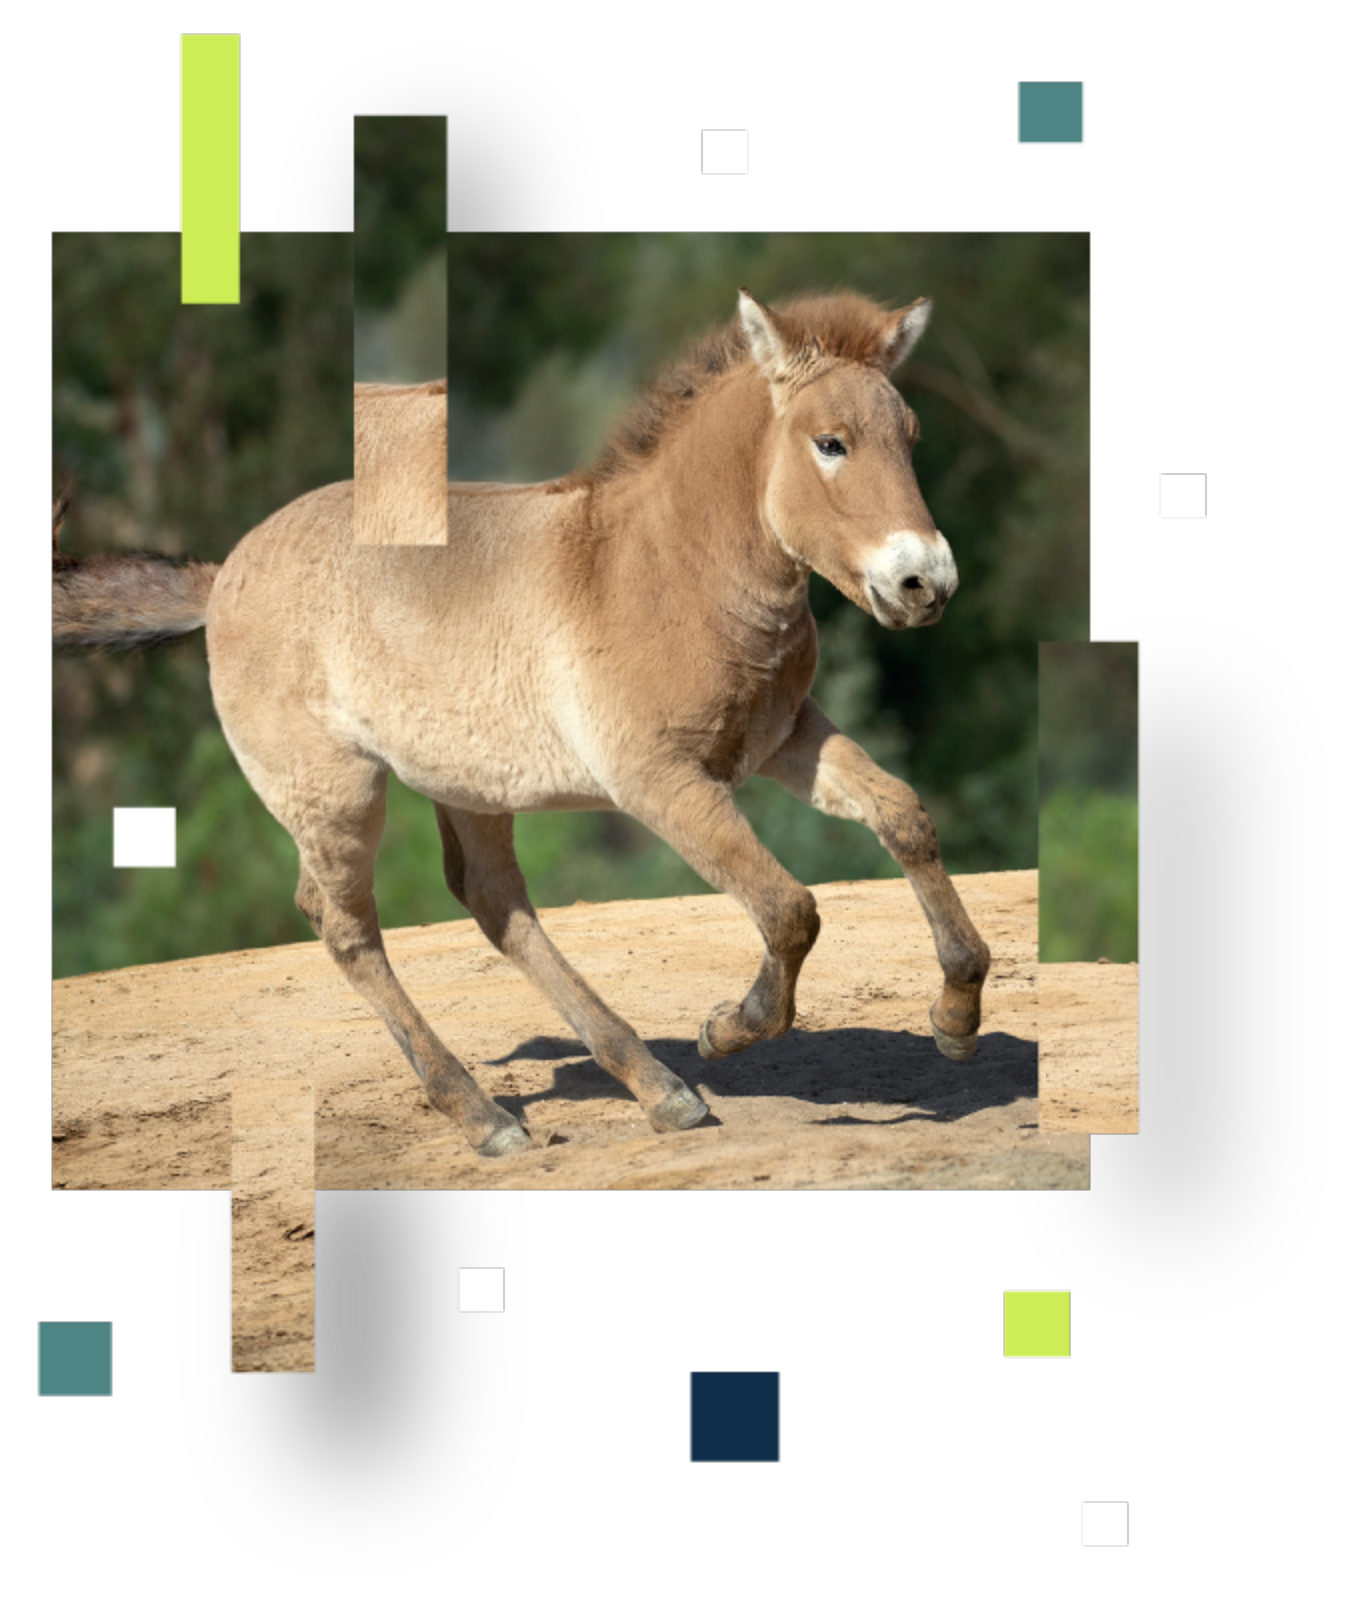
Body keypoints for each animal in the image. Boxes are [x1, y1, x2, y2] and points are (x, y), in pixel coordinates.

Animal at [53, 287, 990, 1157]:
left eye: (908, 437)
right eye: (830, 442)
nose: (926, 583)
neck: (668, 571)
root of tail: (222, 579)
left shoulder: (784, 739)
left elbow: (903, 816)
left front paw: (957, 1014)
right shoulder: (663, 785)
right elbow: (789, 908)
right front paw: (727, 1027)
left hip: (466, 783)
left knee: (493, 902)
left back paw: (655, 1089)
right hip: (336, 792)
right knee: (345, 926)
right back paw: (487, 1116)